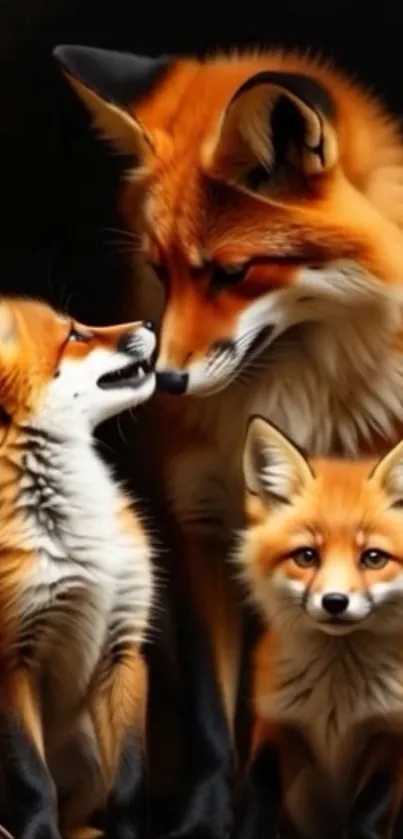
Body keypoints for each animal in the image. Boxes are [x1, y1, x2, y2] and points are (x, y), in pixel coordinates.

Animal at [0, 297, 156, 839]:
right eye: (75, 336)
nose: (150, 321)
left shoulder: (124, 646)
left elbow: (129, 783)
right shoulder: (12, 658)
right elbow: (32, 780)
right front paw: (39, 834)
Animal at [236, 416, 403, 839]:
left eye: (373, 558)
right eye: (306, 556)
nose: (335, 602)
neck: (335, 707)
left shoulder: (390, 734)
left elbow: (369, 811)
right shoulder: (277, 725)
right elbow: (256, 795)